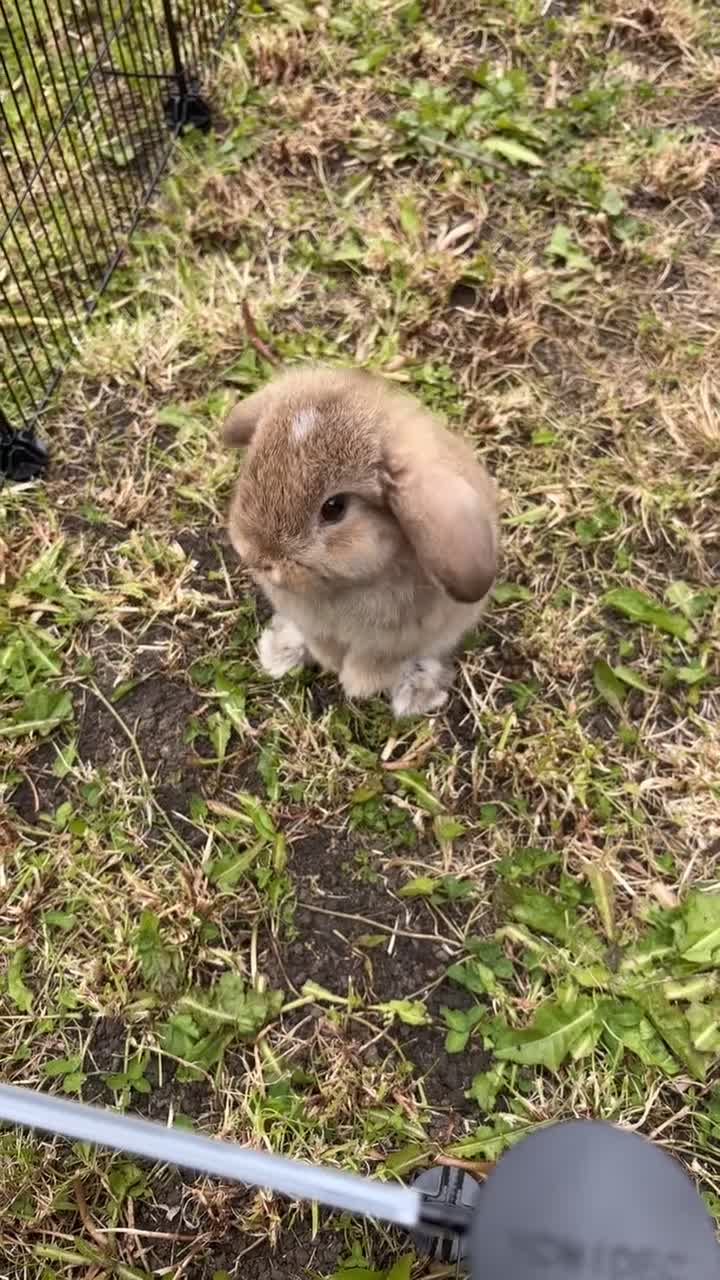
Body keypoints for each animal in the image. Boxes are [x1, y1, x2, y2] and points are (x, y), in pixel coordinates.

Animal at [223, 366, 498, 717]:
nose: (258, 557)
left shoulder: (392, 643)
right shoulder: (316, 627)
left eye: (334, 508)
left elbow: (371, 666)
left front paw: (356, 686)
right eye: (252, 468)